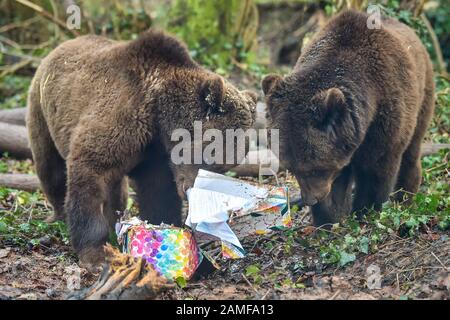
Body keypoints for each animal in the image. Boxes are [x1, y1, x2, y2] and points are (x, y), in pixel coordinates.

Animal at [26, 30, 256, 264]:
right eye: (212, 155)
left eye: (225, 166)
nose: (193, 196)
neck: (160, 119)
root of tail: (57, 48)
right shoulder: (123, 120)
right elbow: (90, 170)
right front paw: (96, 252)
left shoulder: (154, 153)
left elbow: (158, 192)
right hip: (42, 112)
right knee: (51, 168)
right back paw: (59, 215)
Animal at [262, 9, 434, 225]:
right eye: (291, 167)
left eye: (314, 168)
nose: (310, 199)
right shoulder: (343, 142)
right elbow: (338, 181)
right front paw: (328, 217)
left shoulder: (385, 116)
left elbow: (376, 168)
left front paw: (366, 210)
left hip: (422, 95)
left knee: (411, 150)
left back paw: (405, 197)